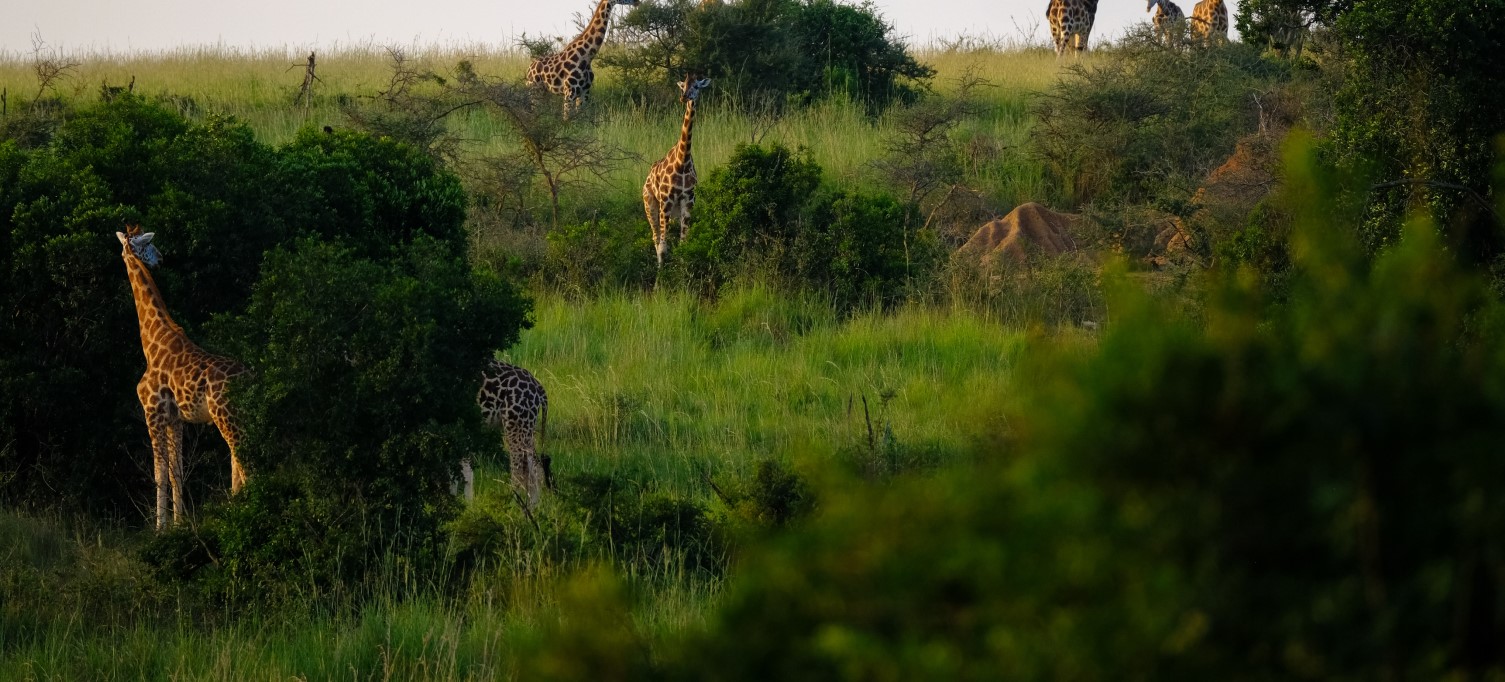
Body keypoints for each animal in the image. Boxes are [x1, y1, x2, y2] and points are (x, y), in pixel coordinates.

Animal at [115, 225, 248, 529]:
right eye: (148, 245)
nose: (161, 258)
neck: (152, 341)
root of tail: (252, 376)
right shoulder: (176, 419)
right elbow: (177, 471)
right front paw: (178, 525)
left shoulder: (152, 412)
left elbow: (159, 473)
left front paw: (160, 528)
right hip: (237, 416)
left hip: (225, 416)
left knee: (243, 459)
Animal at [472, 358, 550, 508]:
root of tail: (538, 387)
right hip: (526, 428)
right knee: (535, 468)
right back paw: (532, 508)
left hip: (516, 425)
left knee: (519, 472)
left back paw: (514, 507)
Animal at [644, 75, 713, 266]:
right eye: (683, 86)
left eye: (696, 86)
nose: (684, 98)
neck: (682, 162)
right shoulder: (666, 201)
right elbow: (663, 247)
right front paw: (662, 274)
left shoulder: (688, 200)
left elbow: (683, 243)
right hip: (650, 205)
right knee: (656, 238)